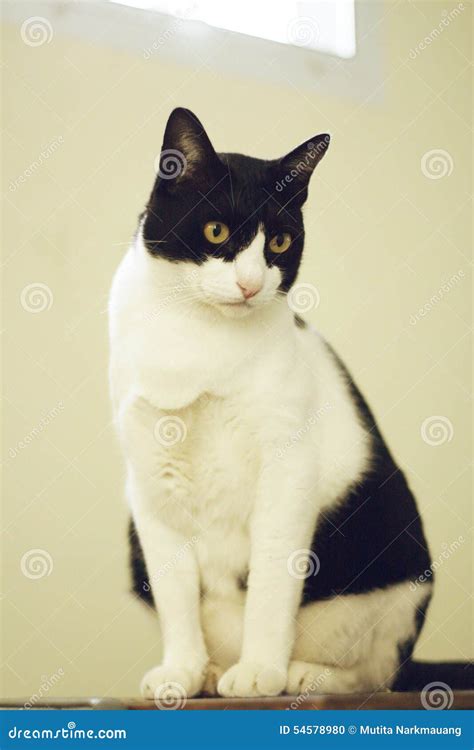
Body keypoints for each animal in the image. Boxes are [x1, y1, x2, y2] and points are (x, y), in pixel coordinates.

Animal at [108, 108, 470, 704]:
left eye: (279, 241)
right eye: (216, 232)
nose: (251, 284)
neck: (197, 338)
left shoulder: (287, 469)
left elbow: (272, 583)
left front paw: (260, 671)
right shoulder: (149, 484)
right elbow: (175, 595)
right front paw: (181, 670)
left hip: (399, 586)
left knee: (374, 673)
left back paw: (299, 673)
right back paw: (211, 672)